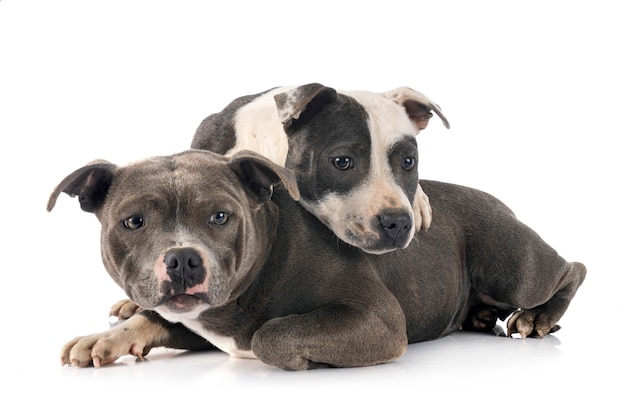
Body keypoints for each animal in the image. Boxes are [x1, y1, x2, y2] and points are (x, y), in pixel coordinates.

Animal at [50, 150, 584, 372]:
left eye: (220, 216)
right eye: (134, 222)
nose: (182, 259)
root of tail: (496, 197)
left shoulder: (377, 318)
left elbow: (270, 334)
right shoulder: (198, 321)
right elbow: (152, 318)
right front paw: (106, 338)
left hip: (512, 264)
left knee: (571, 270)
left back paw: (537, 316)